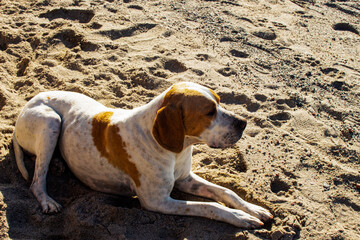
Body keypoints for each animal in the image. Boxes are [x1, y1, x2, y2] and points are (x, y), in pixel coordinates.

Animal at [13, 82, 272, 229]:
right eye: (209, 112)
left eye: (219, 101)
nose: (243, 123)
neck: (175, 150)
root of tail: (29, 102)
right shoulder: (158, 201)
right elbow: (210, 207)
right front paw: (240, 217)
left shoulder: (186, 179)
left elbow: (226, 192)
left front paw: (253, 208)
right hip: (50, 123)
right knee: (36, 180)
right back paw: (48, 201)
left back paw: (59, 164)